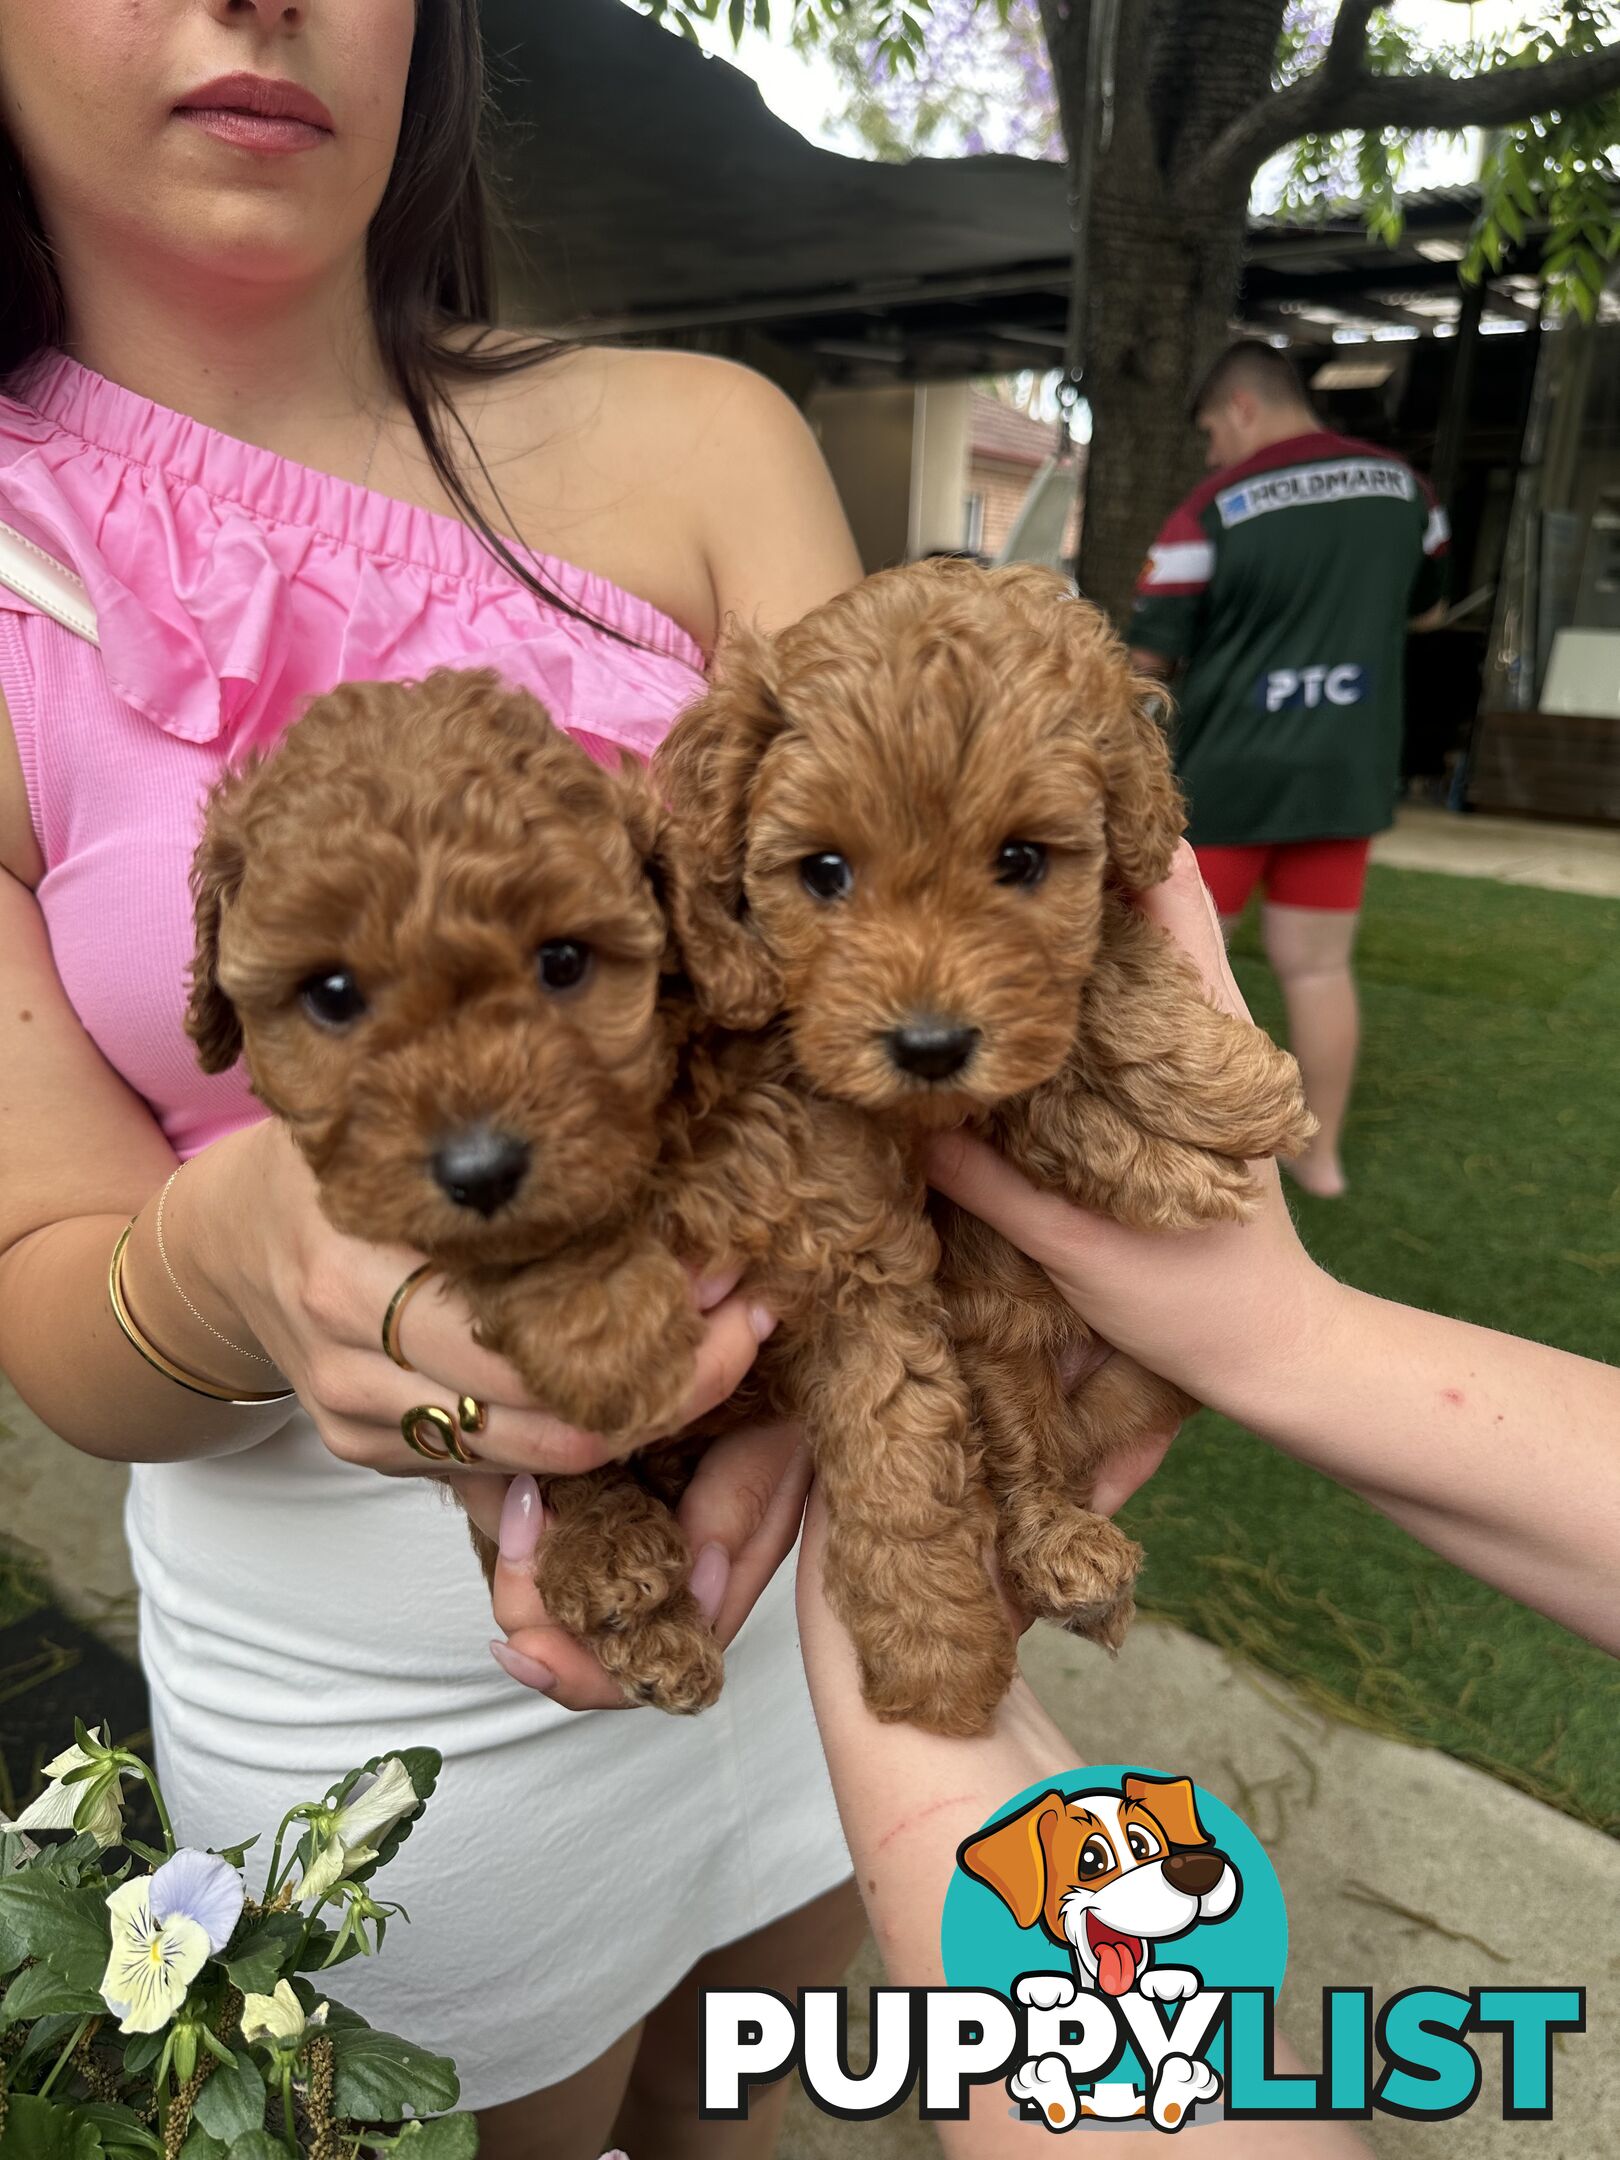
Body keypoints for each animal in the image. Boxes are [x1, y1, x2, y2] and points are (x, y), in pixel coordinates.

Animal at [183, 665, 1010, 1728]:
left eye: (564, 962)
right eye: (331, 993)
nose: (481, 1168)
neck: (660, 1137)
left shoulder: (846, 1251)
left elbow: (900, 1450)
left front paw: (938, 1652)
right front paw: (611, 1326)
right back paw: (617, 1571)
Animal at [660, 565, 1321, 1641]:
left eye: (1021, 862)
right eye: (825, 873)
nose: (929, 1046)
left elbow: (1102, 971)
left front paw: (1221, 1095)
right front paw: (1176, 1154)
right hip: (996, 1348)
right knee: (1027, 1447)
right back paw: (1067, 1553)